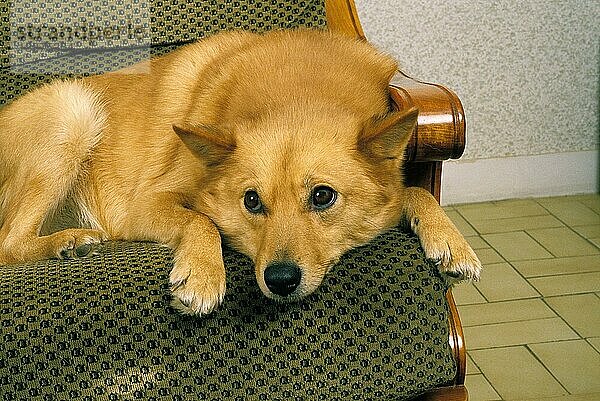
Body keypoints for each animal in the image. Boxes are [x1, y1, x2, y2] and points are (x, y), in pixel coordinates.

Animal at [0, 29, 480, 314]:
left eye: (323, 196)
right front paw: (203, 274)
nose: (281, 281)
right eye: (252, 201)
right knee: (8, 243)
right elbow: (200, 220)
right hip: (74, 113)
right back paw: (67, 242)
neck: (298, 93)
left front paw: (450, 241)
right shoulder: (144, 204)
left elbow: (415, 193)